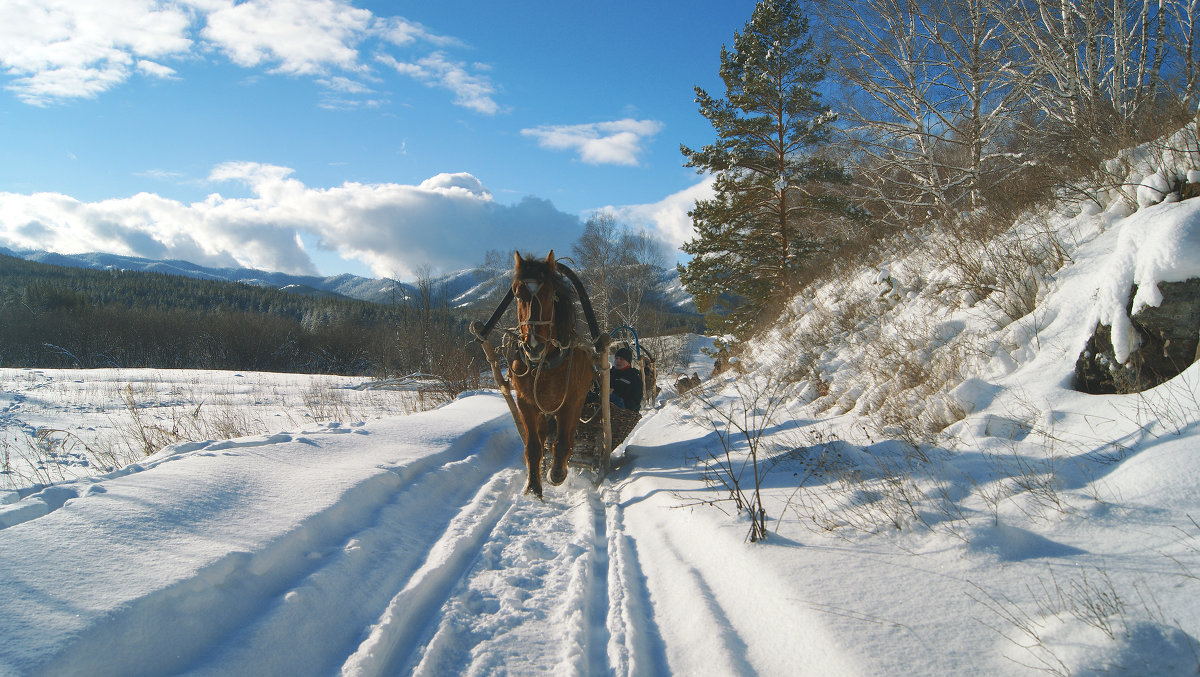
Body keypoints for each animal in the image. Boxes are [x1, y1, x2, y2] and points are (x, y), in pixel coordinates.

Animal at [508, 250, 597, 499]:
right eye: (517, 294)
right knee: (542, 438)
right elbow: (533, 447)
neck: (545, 364)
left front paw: (556, 474)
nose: (534, 346)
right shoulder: (526, 403)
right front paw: (533, 488)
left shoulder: (571, 403)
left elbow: (564, 442)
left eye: (550, 294)